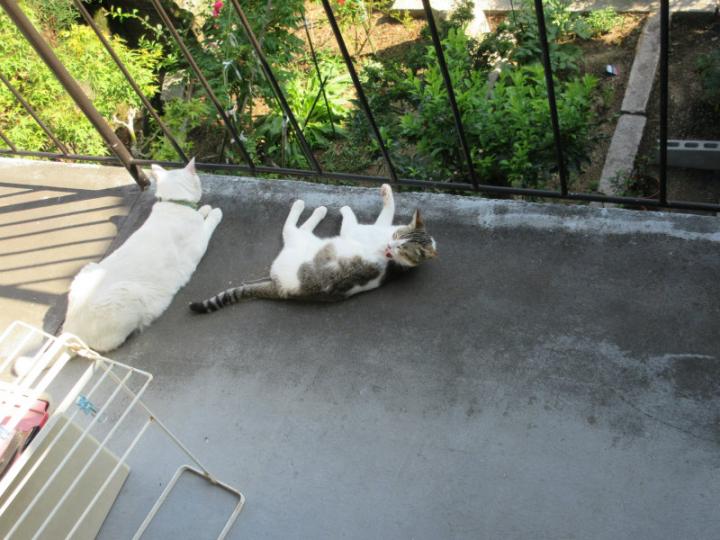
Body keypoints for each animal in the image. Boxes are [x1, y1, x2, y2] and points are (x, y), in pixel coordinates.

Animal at [58, 158, 222, 352]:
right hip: (128, 294)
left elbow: (200, 211)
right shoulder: (198, 244)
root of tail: (69, 328)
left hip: (88, 268)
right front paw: (214, 212)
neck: (173, 203)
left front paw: (204, 208)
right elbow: (209, 222)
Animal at [189, 184, 436, 313]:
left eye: (403, 248)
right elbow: (388, 211)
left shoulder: (353, 230)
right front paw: (387, 192)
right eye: (398, 236)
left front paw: (344, 208)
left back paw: (311, 208)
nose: (390, 245)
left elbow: (349, 216)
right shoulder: (381, 227)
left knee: (291, 226)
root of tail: (279, 287)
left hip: (299, 241)